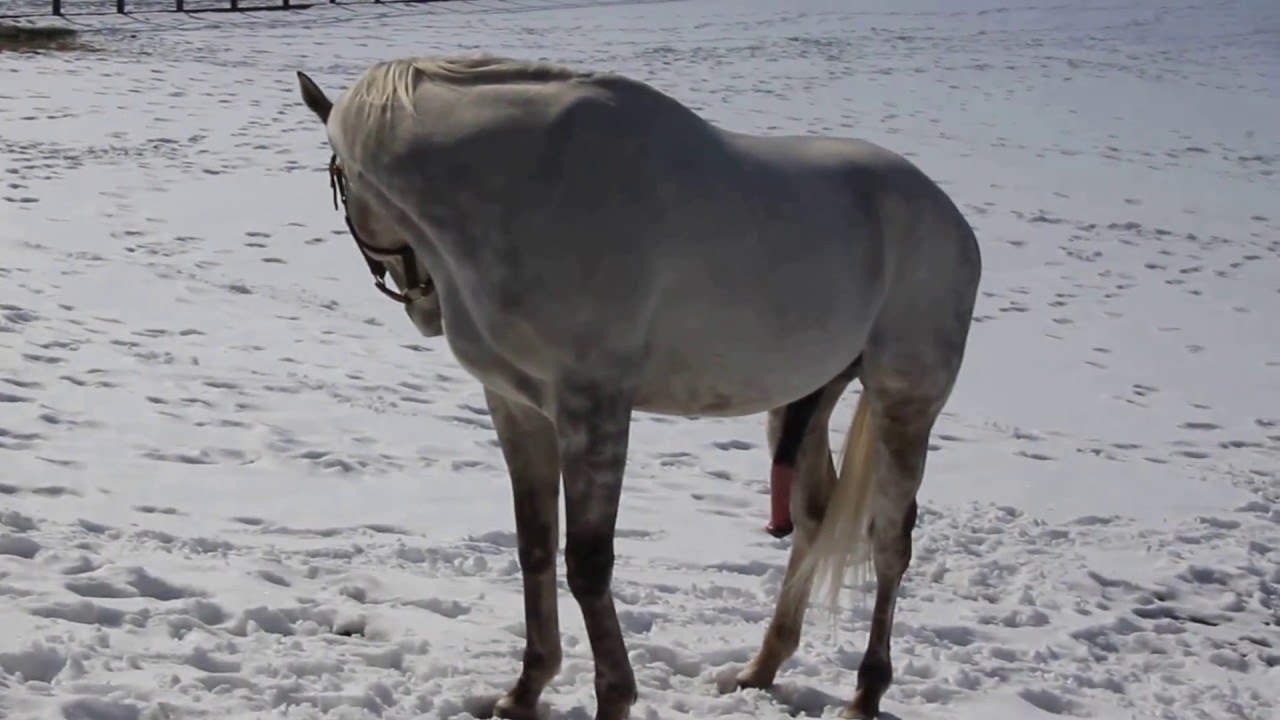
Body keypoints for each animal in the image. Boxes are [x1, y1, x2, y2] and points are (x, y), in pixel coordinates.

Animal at [294, 56, 983, 717]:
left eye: (338, 182)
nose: (421, 303)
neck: (528, 185)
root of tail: (952, 221)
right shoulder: (518, 407)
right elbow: (534, 545)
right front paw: (525, 690)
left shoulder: (593, 404)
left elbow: (588, 563)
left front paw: (613, 697)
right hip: (806, 398)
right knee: (815, 517)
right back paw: (760, 669)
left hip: (904, 402)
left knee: (890, 541)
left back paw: (865, 695)